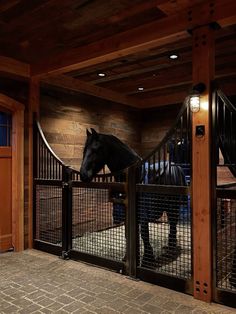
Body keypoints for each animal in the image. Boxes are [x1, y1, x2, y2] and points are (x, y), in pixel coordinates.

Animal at [80, 127, 187, 268]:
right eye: (84, 149)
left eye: (96, 149)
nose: (83, 175)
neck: (137, 175)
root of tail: (176, 166)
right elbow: (128, 233)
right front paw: (127, 258)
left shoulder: (142, 213)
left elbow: (144, 234)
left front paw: (147, 260)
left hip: (173, 206)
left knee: (173, 223)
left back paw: (171, 248)